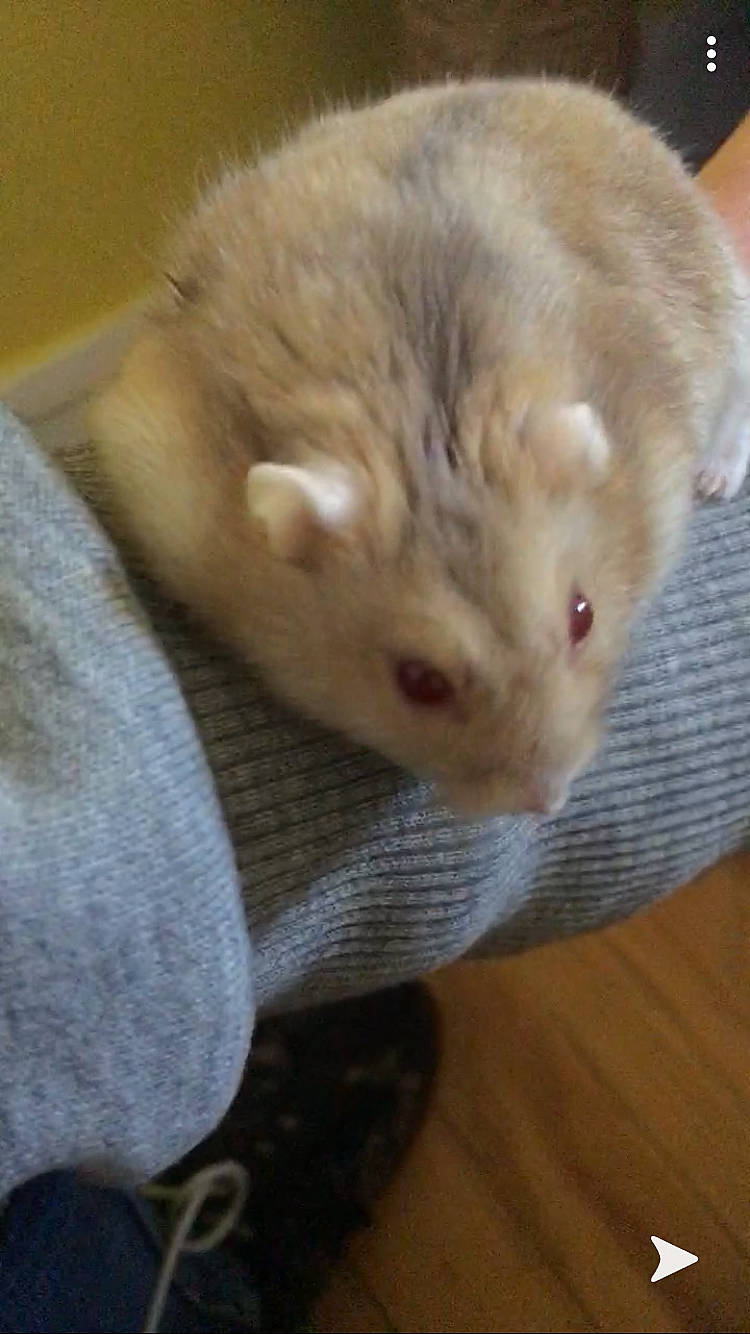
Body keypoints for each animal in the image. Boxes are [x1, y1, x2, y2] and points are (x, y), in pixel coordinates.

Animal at [90, 78, 750, 818]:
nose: (548, 803)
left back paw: (715, 480)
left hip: (729, 309)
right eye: (418, 682)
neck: (430, 436)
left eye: (583, 617)